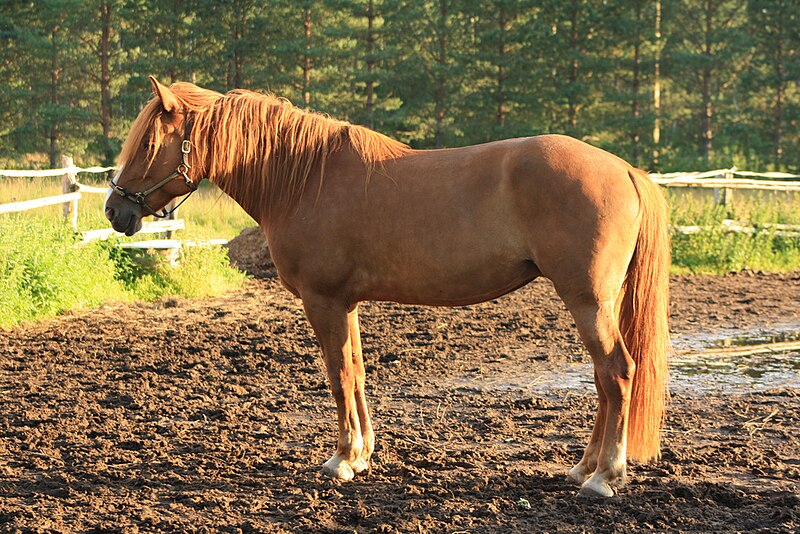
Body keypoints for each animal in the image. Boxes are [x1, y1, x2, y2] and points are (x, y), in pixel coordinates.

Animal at [104, 77, 668, 500]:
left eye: (148, 143)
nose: (115, 211)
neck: (303, 179)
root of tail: (625, 169)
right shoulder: (345, 304)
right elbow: (356, 372)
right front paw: (361, 454)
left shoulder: (324, 302)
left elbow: (338, 376)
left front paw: (340, 459)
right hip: (598, 303)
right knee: (603, 379)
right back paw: (582, 468)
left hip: (587, 300)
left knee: (616, 373)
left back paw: (603, 477)